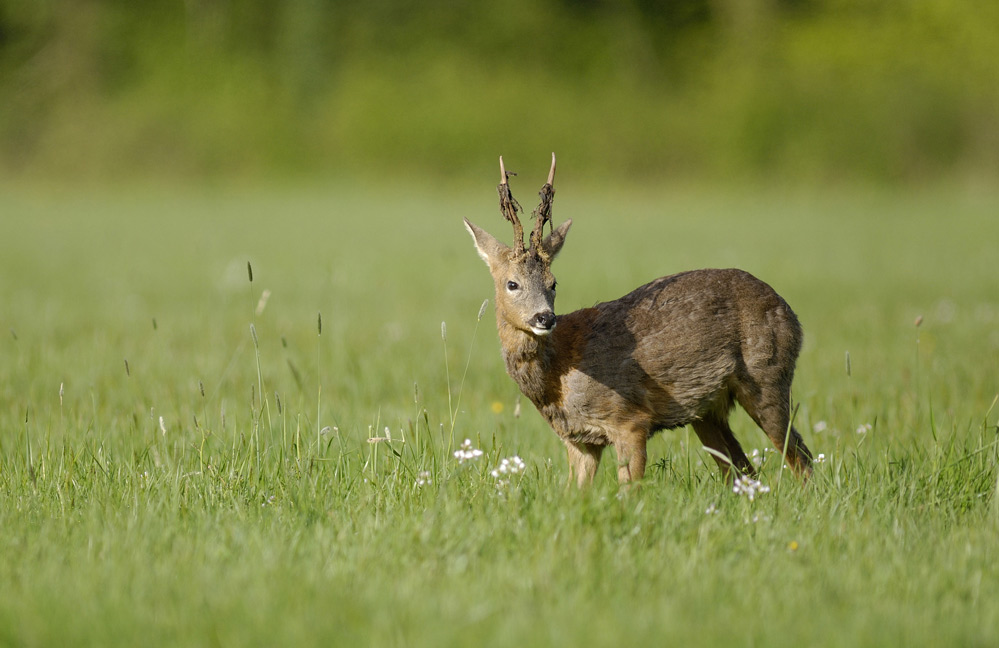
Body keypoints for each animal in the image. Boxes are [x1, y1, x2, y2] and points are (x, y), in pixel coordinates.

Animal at [464, 153, 816, 486]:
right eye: (512, 283)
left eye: (553, 283)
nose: (545, 317)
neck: (559, 376)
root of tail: (790, 311)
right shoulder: (579, 440)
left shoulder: (629, 420)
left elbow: (628, 491)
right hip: (708, 412)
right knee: (744, 471)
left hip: (767, 377)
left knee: (802, 460)